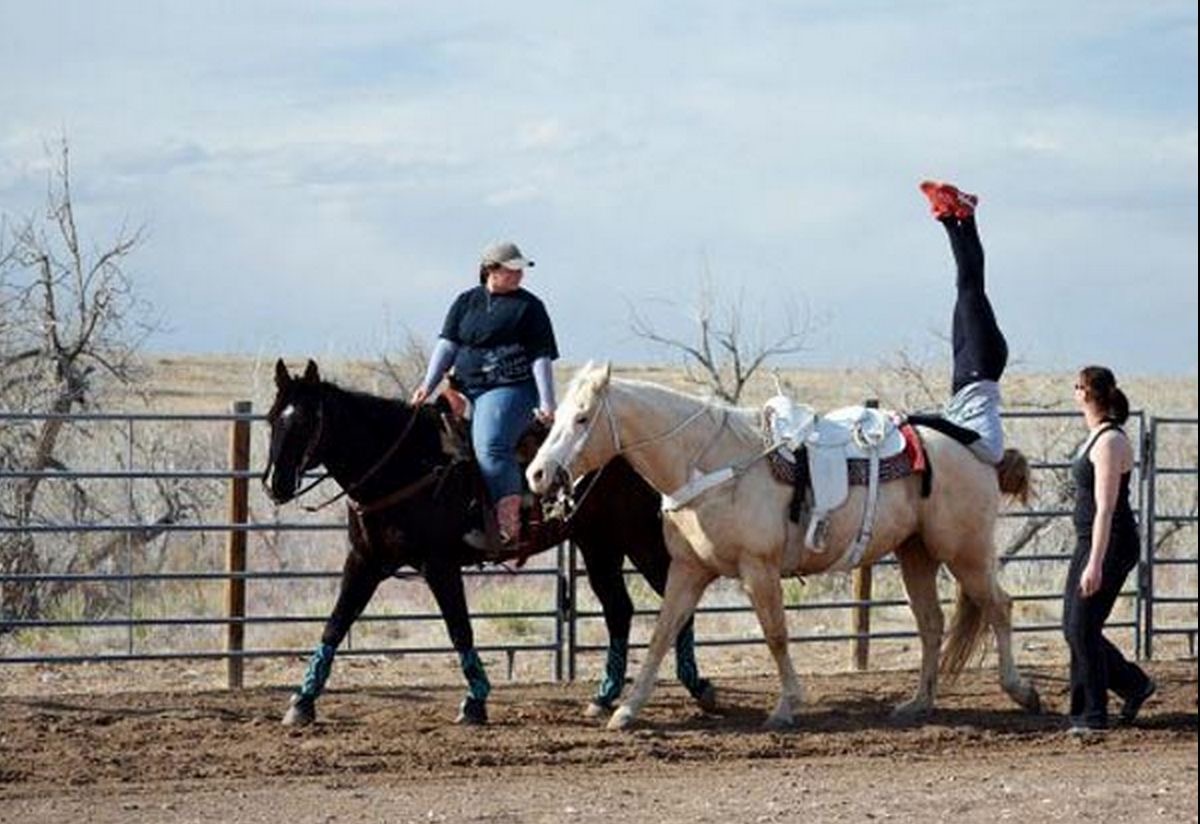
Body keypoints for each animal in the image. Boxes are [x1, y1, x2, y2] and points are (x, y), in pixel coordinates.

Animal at [264, 359, 716, 726]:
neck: (406, 464)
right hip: (599, 545)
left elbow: (459, 629)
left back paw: (697, 685)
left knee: (675, 602)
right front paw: (302, 701)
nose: (275, 484)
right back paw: (604, 697)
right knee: (619, 610)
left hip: (640, 540)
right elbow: (335, 625)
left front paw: (475, 701)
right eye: (271, 419)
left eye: (305, 422)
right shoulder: (364, 562)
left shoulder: (439, 565)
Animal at [527, 363, 1043, 730]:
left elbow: (775, 634)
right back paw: (918, 703)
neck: (711, 463)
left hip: (965, 552)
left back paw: (1022, 691)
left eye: (582, 418)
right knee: (932, 624)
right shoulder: (687, 570)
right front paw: (626, 711)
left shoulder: (759, 569)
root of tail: (978, 449)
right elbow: (661, 635)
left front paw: (786, 706)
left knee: (999, 606)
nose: (537, 473)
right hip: (916, 553)